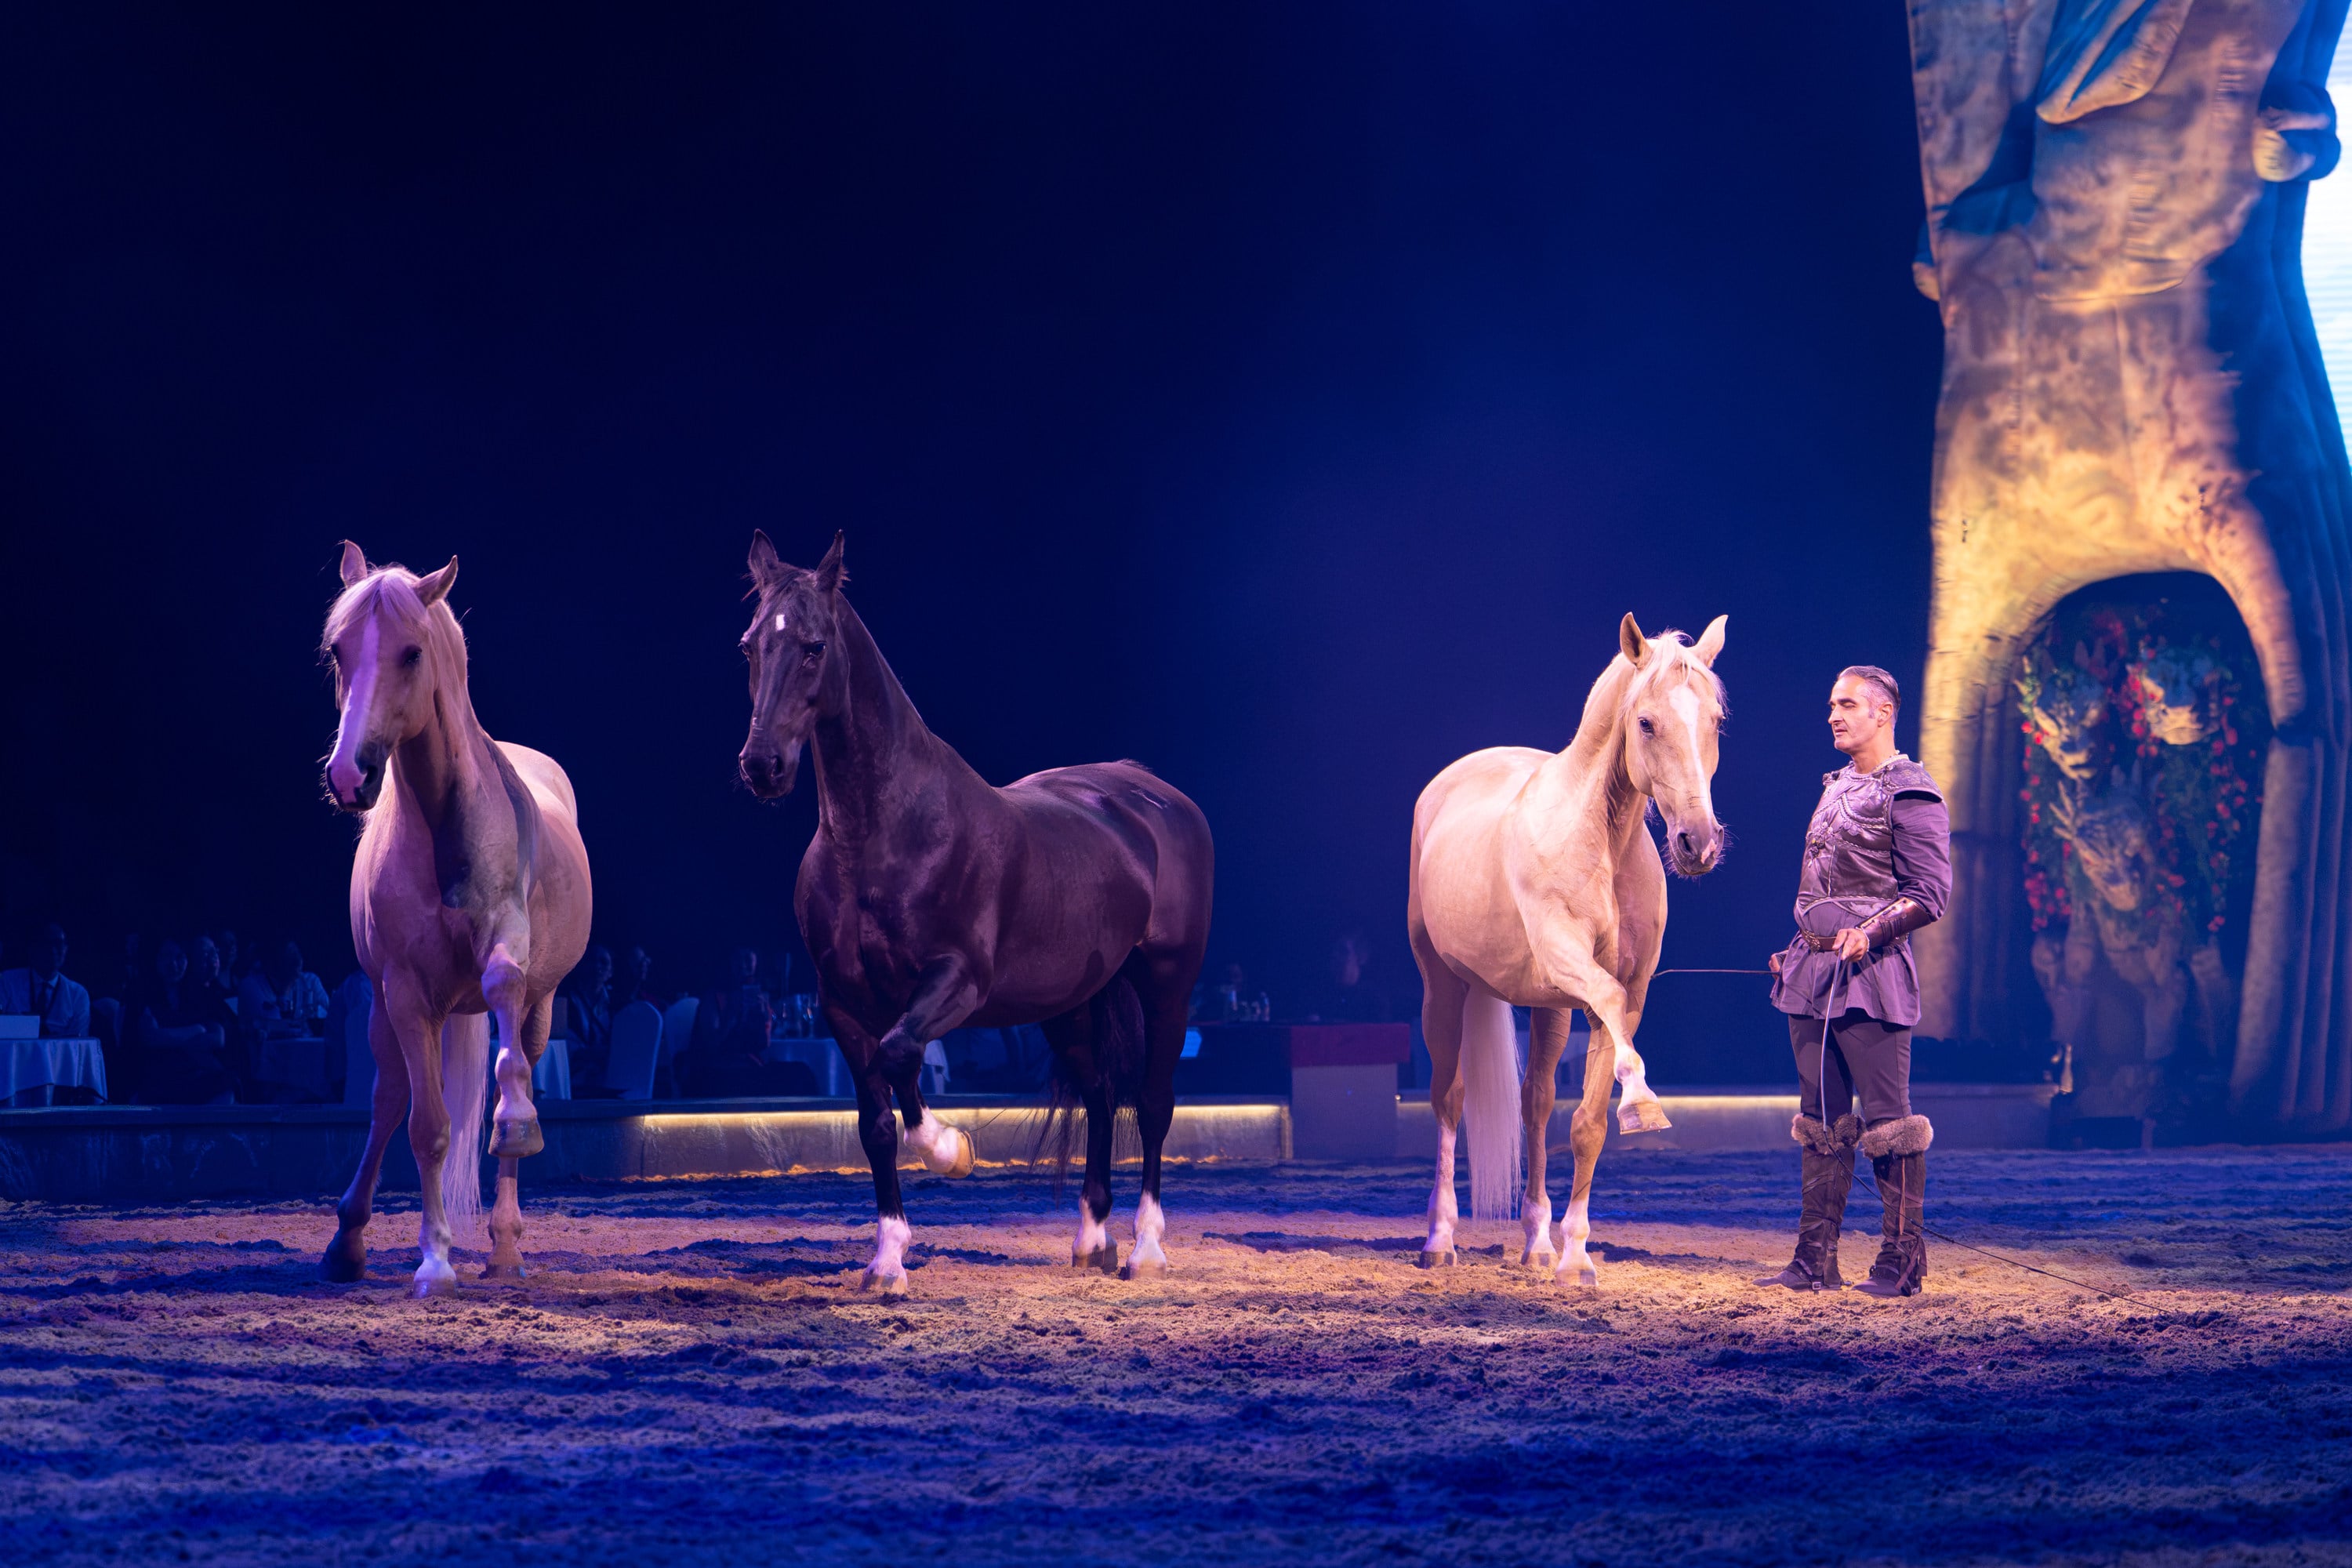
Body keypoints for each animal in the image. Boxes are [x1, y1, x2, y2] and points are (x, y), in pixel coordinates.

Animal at [315, 543, 593, 1297]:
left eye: (411, 652)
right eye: (338, 651)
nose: (350, 776)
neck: (445, 826)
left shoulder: (510, 954)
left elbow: (503, 995)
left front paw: (517, 1121)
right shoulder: (409, 996)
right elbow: (427, 1128)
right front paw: (435, 1261)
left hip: (541, 1008)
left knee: (516, 1058)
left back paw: (505, 1245)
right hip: (384, 1013)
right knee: (388, 1100)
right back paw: (347, 1243)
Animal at [735, 531, 1214, 1296]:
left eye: (813, 646)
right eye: (749, 645)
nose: (762, 767)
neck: (884, 834)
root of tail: (1154, 795)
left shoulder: (957, 982)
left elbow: (902, 1054)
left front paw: (949, 1148)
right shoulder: (841, 1003)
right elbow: (875, 1120)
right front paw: (888, 1259)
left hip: (1167, 983)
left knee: (1153, 1101)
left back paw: (1145, 1249)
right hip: (1070, 1002)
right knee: (1101, 1094)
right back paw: (1091, 1238)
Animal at [1407, 613, 1728, 1286]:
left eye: (1714, 720)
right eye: (1646, 722)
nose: (1698, 843)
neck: (1600, 840)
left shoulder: (1625, 1000)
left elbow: (1587, 1126)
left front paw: (1575, 1256)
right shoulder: (1574, 965)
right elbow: (1604, 1018)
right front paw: (1643, 1100)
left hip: (1547, 1006)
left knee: (1535, 1105)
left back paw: (1536, 1244)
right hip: (1443, 986)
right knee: (1449, 1098)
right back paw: (1439, 1238)